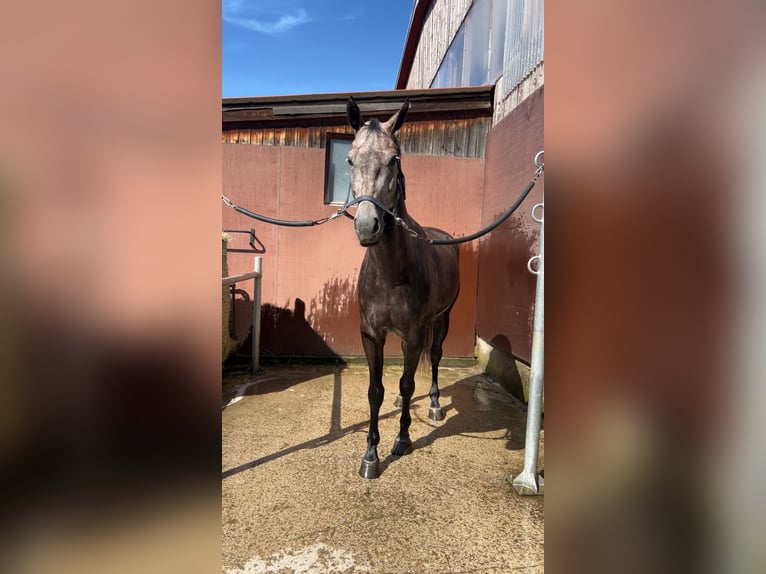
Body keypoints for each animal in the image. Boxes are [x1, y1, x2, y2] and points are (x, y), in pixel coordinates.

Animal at [345, 97, 460, 479]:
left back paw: (436, 404)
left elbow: (408, 383)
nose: (367, 226)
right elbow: (376, 391)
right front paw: (370, 455)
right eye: (349, 159)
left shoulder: (414, 333)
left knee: (435, 357)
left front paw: (403, 439)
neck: (391, 272)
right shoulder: (371, 334)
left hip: (442, 320)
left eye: (394, 159)